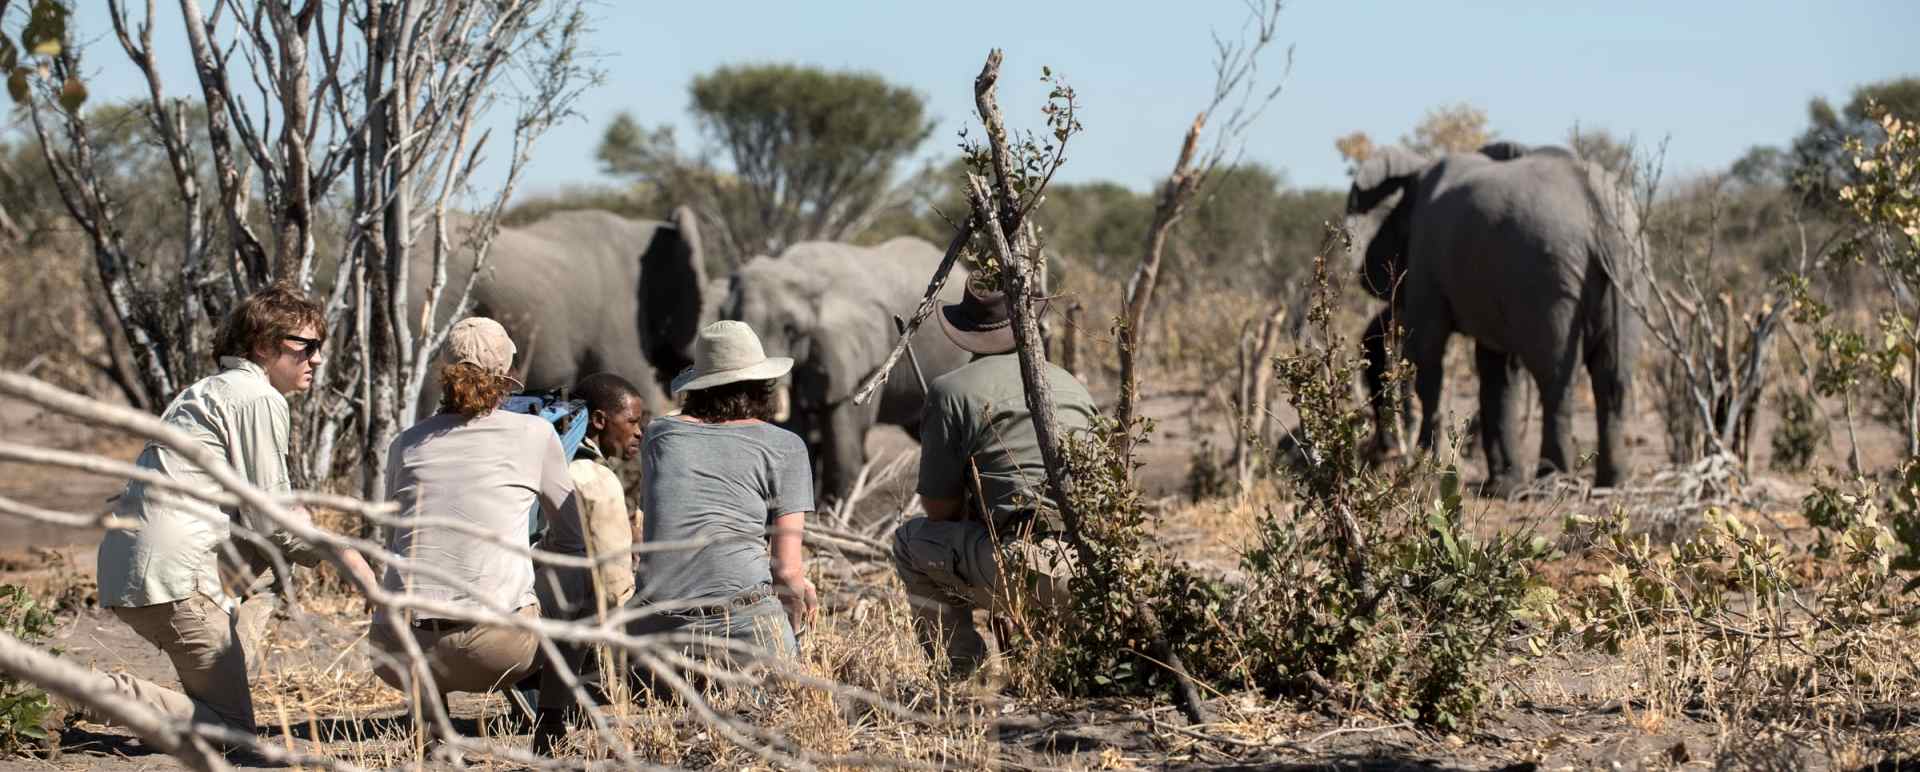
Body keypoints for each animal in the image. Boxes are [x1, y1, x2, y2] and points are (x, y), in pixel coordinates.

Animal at [645, 236, 972, 505]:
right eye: (733, 319)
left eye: (791, 330)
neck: (802, 273)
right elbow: (796, 428)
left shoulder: (859, 350)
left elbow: (843, 429)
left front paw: (833, 515)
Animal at [1345, 142, 1644, 495]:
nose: (1383, 453)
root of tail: (1601, 212)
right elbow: (1497, 370)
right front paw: (1502, 487)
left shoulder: (1425, 258)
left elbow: (1426, 355)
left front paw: (1425, 466)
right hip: (1629, 275)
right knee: (1611, 376)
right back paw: (1612, 484)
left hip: (1549, 276)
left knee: (1556, 379)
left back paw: (1551, 483)